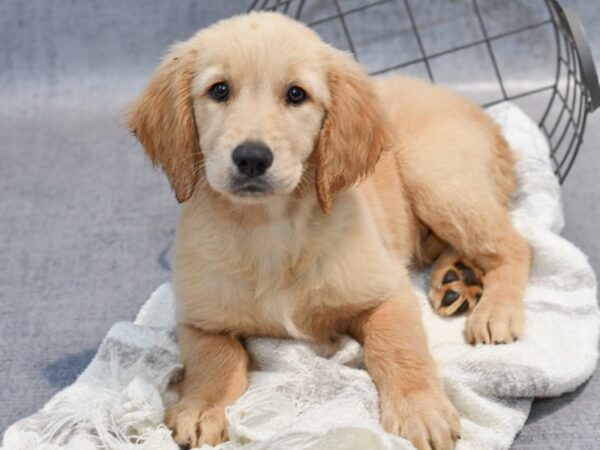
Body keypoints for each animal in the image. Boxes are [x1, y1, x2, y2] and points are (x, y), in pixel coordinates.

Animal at [126, 10, 528, 450]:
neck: (268, 228)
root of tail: (484, 114)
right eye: (219, 90)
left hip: (435, 179)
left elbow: (398, 346)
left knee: (516, 245)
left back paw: (495, 310)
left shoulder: (387, 291)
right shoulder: (197, 316)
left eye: (296, 95)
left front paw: (419, 410)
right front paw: (201, 406)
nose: (251, 158)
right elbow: (211, 358)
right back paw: (459, 277)